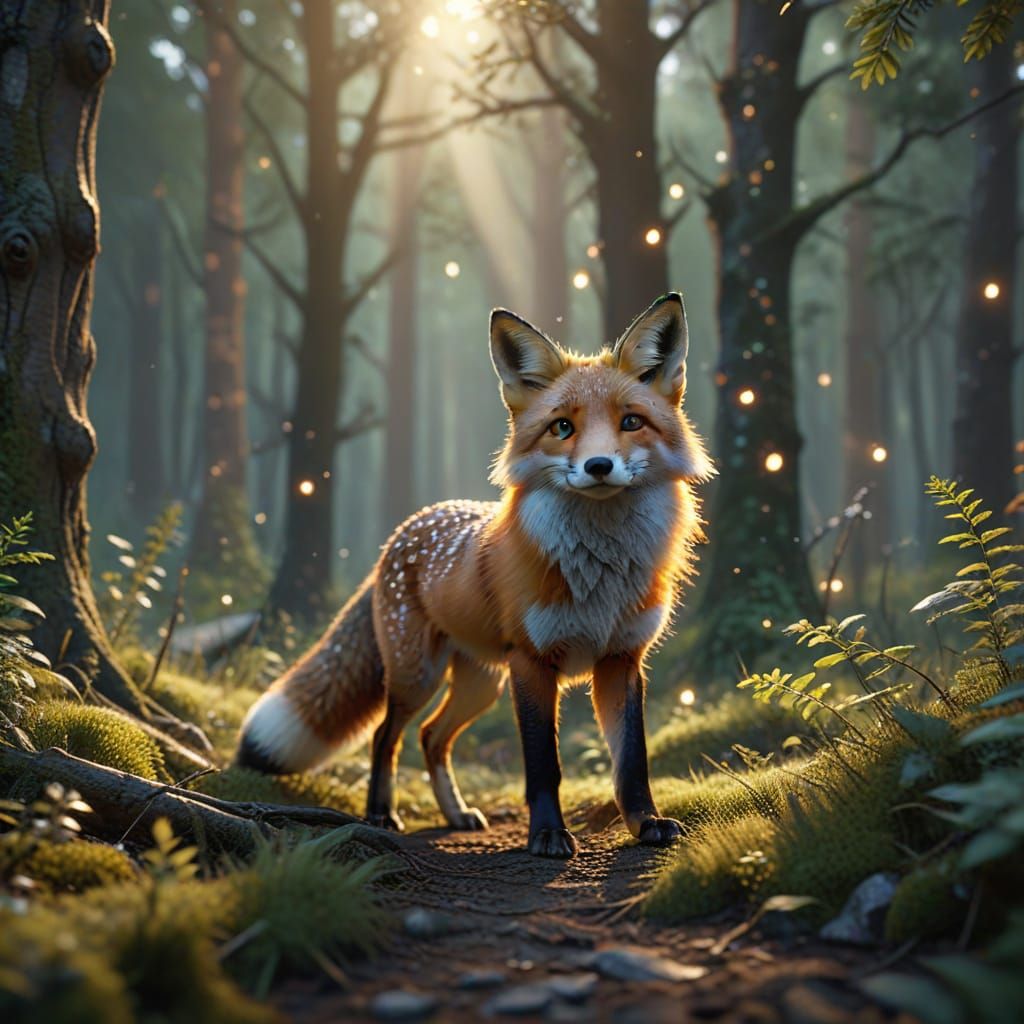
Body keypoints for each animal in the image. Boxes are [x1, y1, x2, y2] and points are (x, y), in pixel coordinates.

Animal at [236, 292, 713, 858]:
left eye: (632, 422)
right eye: (562, 427)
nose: (598, 465)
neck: (600, 576)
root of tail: (404, 530)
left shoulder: (621, 660)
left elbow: (632, 762)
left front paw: (645, 824)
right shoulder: (532, 663)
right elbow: (543, 765)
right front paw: (547, 834)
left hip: (479, 685)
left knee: (432, 737)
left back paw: (455, 813)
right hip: (417, 675)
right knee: (386, 736)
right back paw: (381, 813)